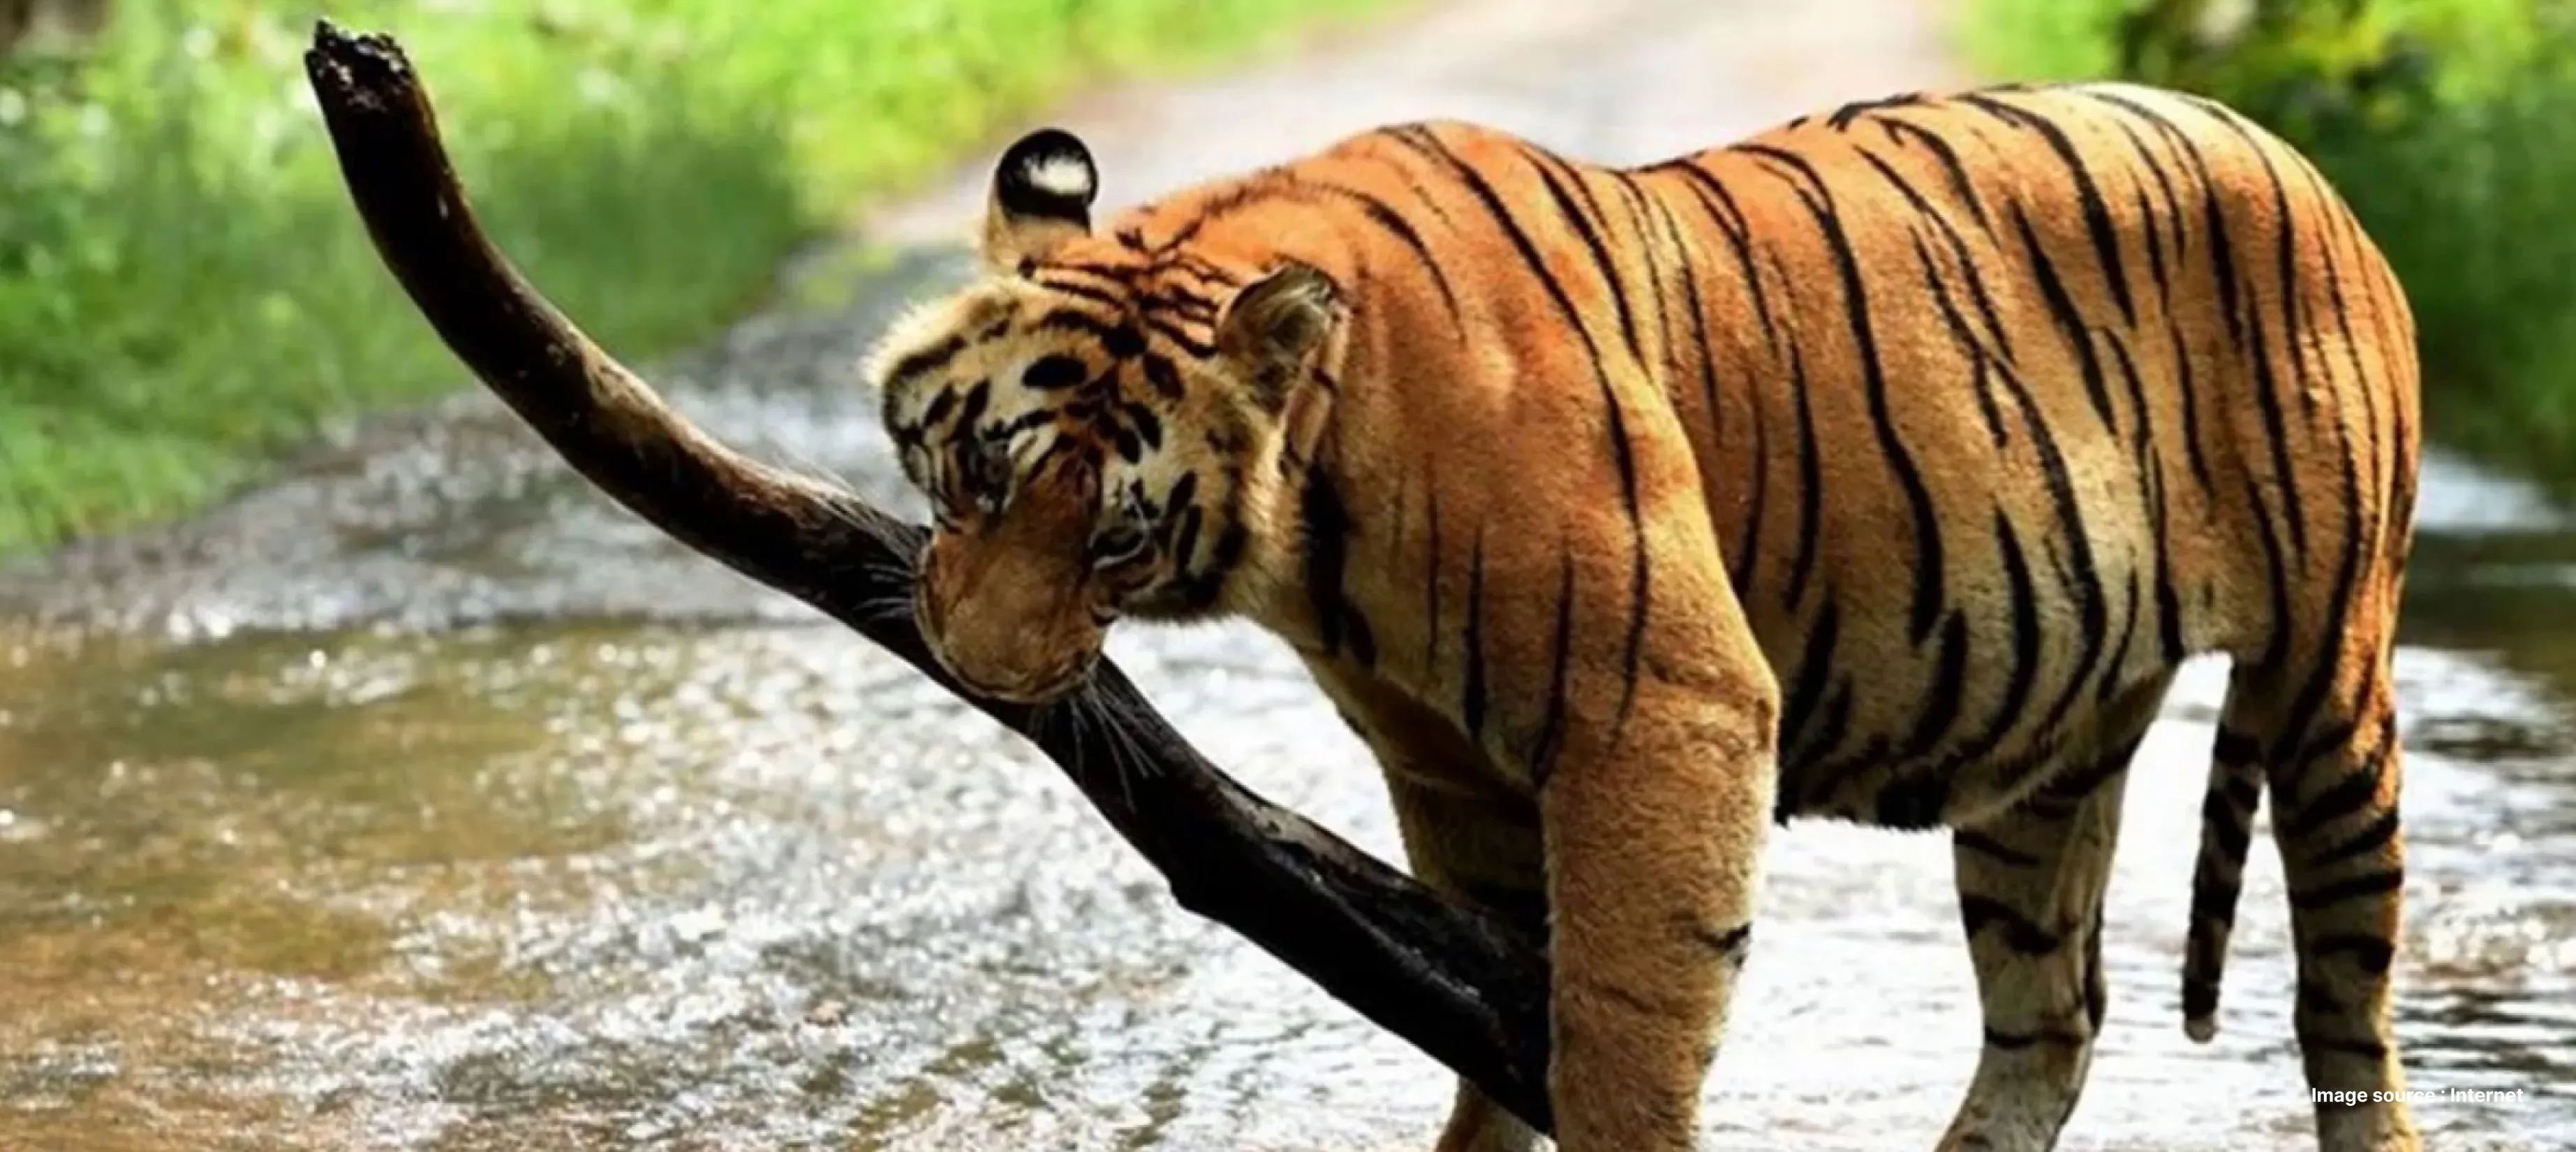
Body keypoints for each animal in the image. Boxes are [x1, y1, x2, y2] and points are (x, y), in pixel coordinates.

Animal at [863, 78, 2422, 1152]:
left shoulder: (1664, 708)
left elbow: (1621, 1017)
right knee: (2052, 1024)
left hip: (2329, 685)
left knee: (2346, 1010)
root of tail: (2302, 164)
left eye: (1120, 537)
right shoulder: (1453, 772)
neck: (1318, 519)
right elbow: (1497, 1019)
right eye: (979, 473)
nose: (982, 672)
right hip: (2049, 758)